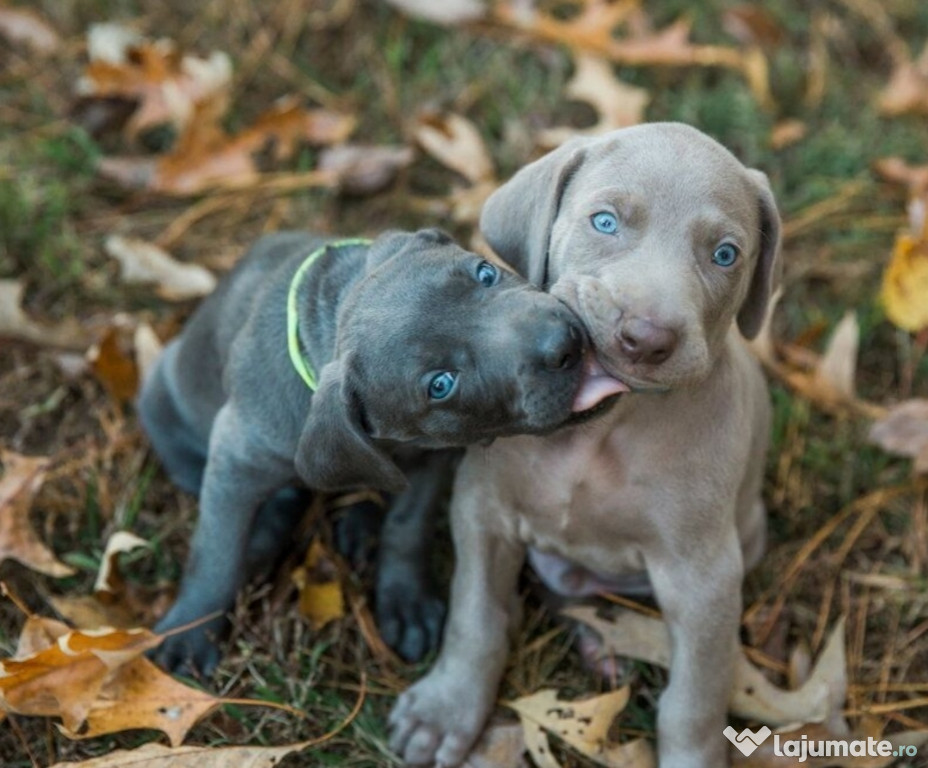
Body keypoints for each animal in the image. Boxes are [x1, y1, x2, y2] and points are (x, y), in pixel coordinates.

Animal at [142, 228, 600, 672]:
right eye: (441, 384)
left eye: (485, 273)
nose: (563, 343)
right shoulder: (235, 455)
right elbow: (214, 552)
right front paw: (188, 635)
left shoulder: (430, 459)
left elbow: (407, 528)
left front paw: (407, 604)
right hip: (161, 401)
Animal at [390, 126, 784, 768]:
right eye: (605, 222)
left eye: (725, 255)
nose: (645, 337)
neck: (598, 430)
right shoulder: (482, 511)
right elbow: (475, 617)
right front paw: (446, 709)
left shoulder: (704, 576)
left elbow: (695, 697)